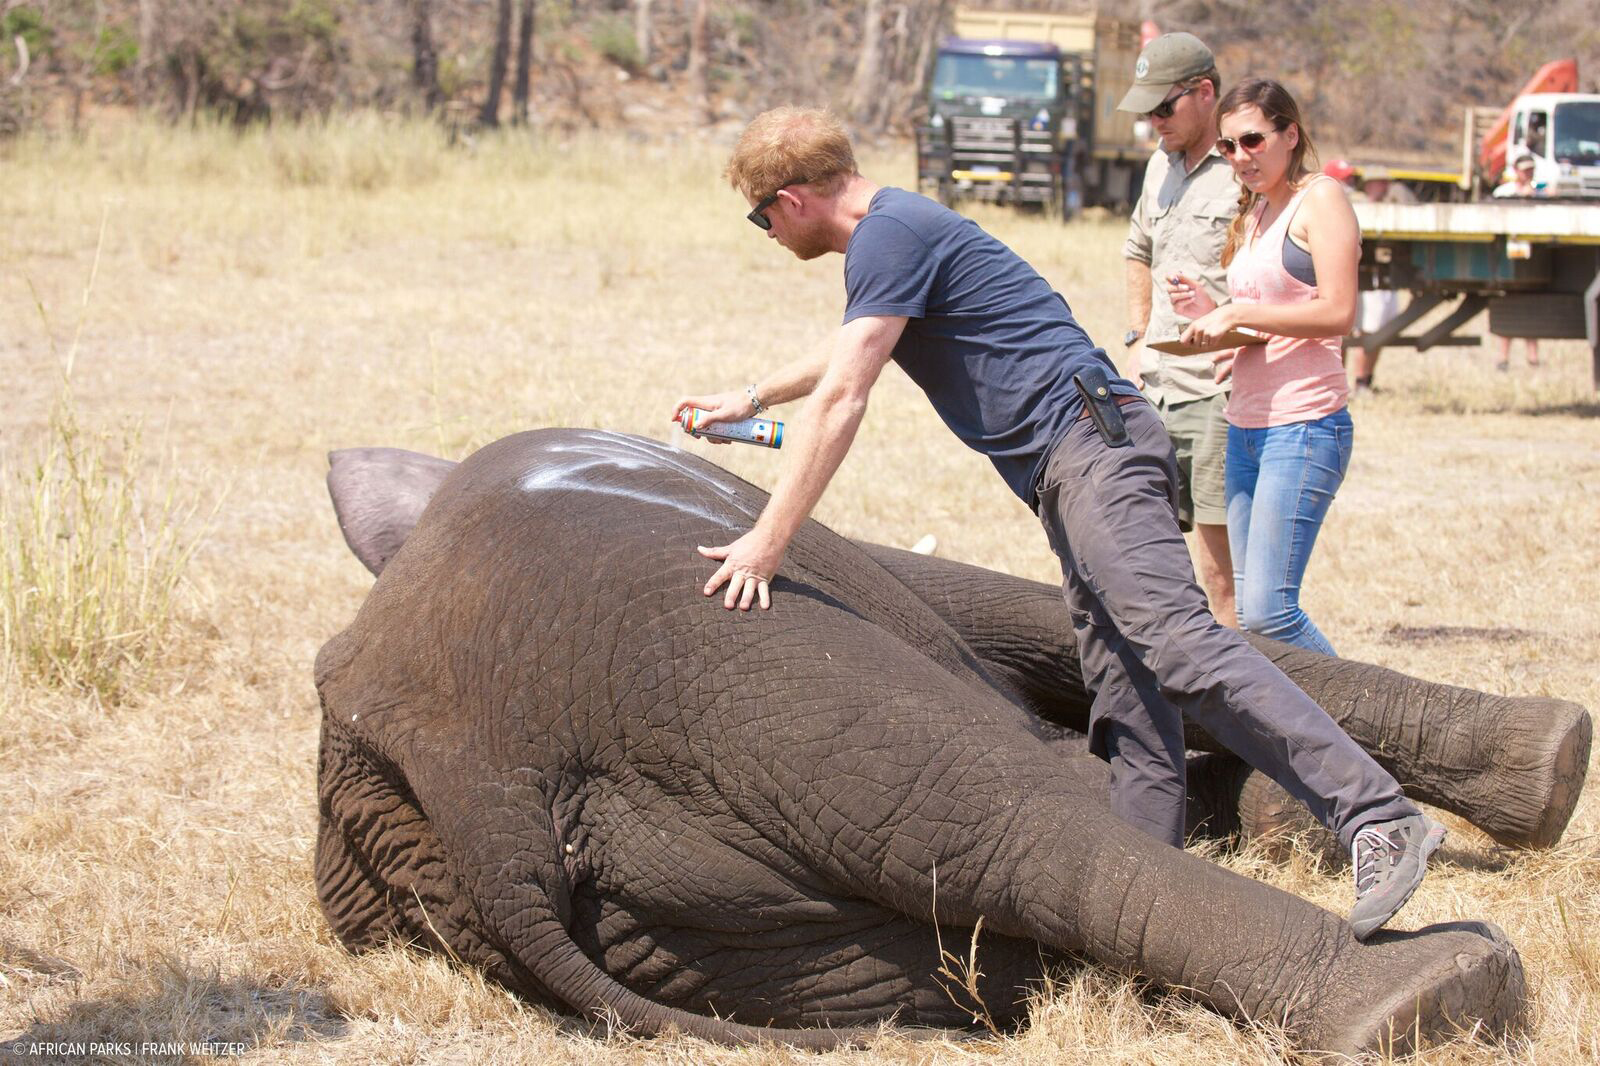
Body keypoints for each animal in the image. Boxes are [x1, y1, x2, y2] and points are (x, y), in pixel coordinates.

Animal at [315, 425, 1587, 1056]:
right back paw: (1434, 994)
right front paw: (1555, 756)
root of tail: (475, 788)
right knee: (1009, 818)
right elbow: (1042, 618)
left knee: (981, 931)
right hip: (702, 647)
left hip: (724, 933)